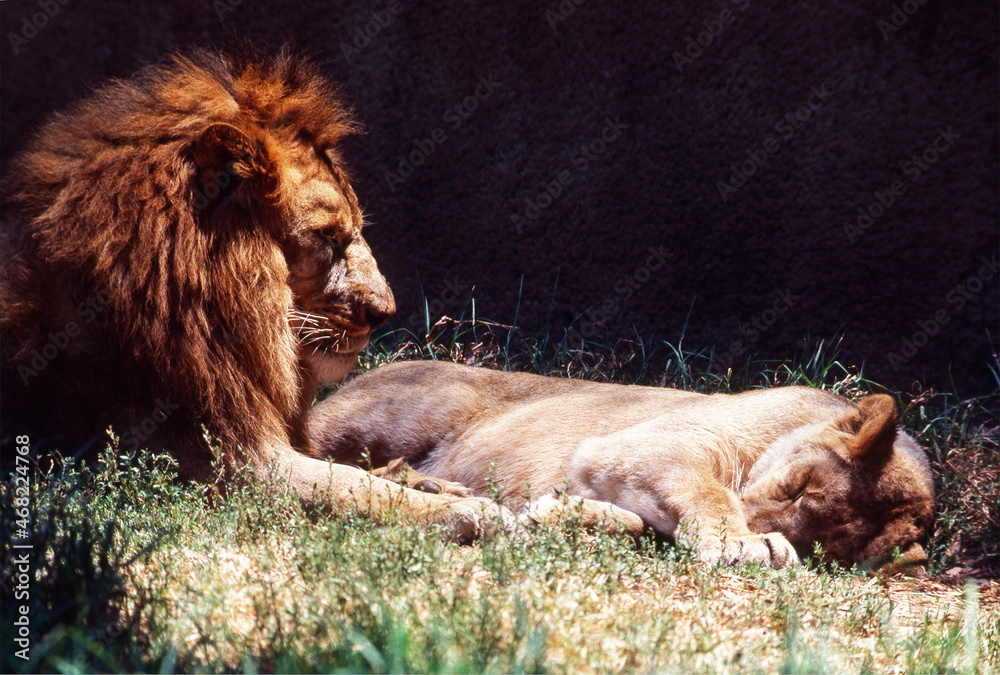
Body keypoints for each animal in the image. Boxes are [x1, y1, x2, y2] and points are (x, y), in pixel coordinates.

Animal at [0, 47, 509, 540]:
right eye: (327, 237)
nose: (385, 312)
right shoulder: (233, 465)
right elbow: (350, 486)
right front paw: (472, 510)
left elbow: (349, 466)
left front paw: (432, 484)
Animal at [308, 361, 936, 569]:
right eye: (798, 487)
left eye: (819, 544)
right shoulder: (650, 444)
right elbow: (708, 493)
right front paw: (742, 542)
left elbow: (637, 523)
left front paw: (554, 516)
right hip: (426, 405)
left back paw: (449, 493)